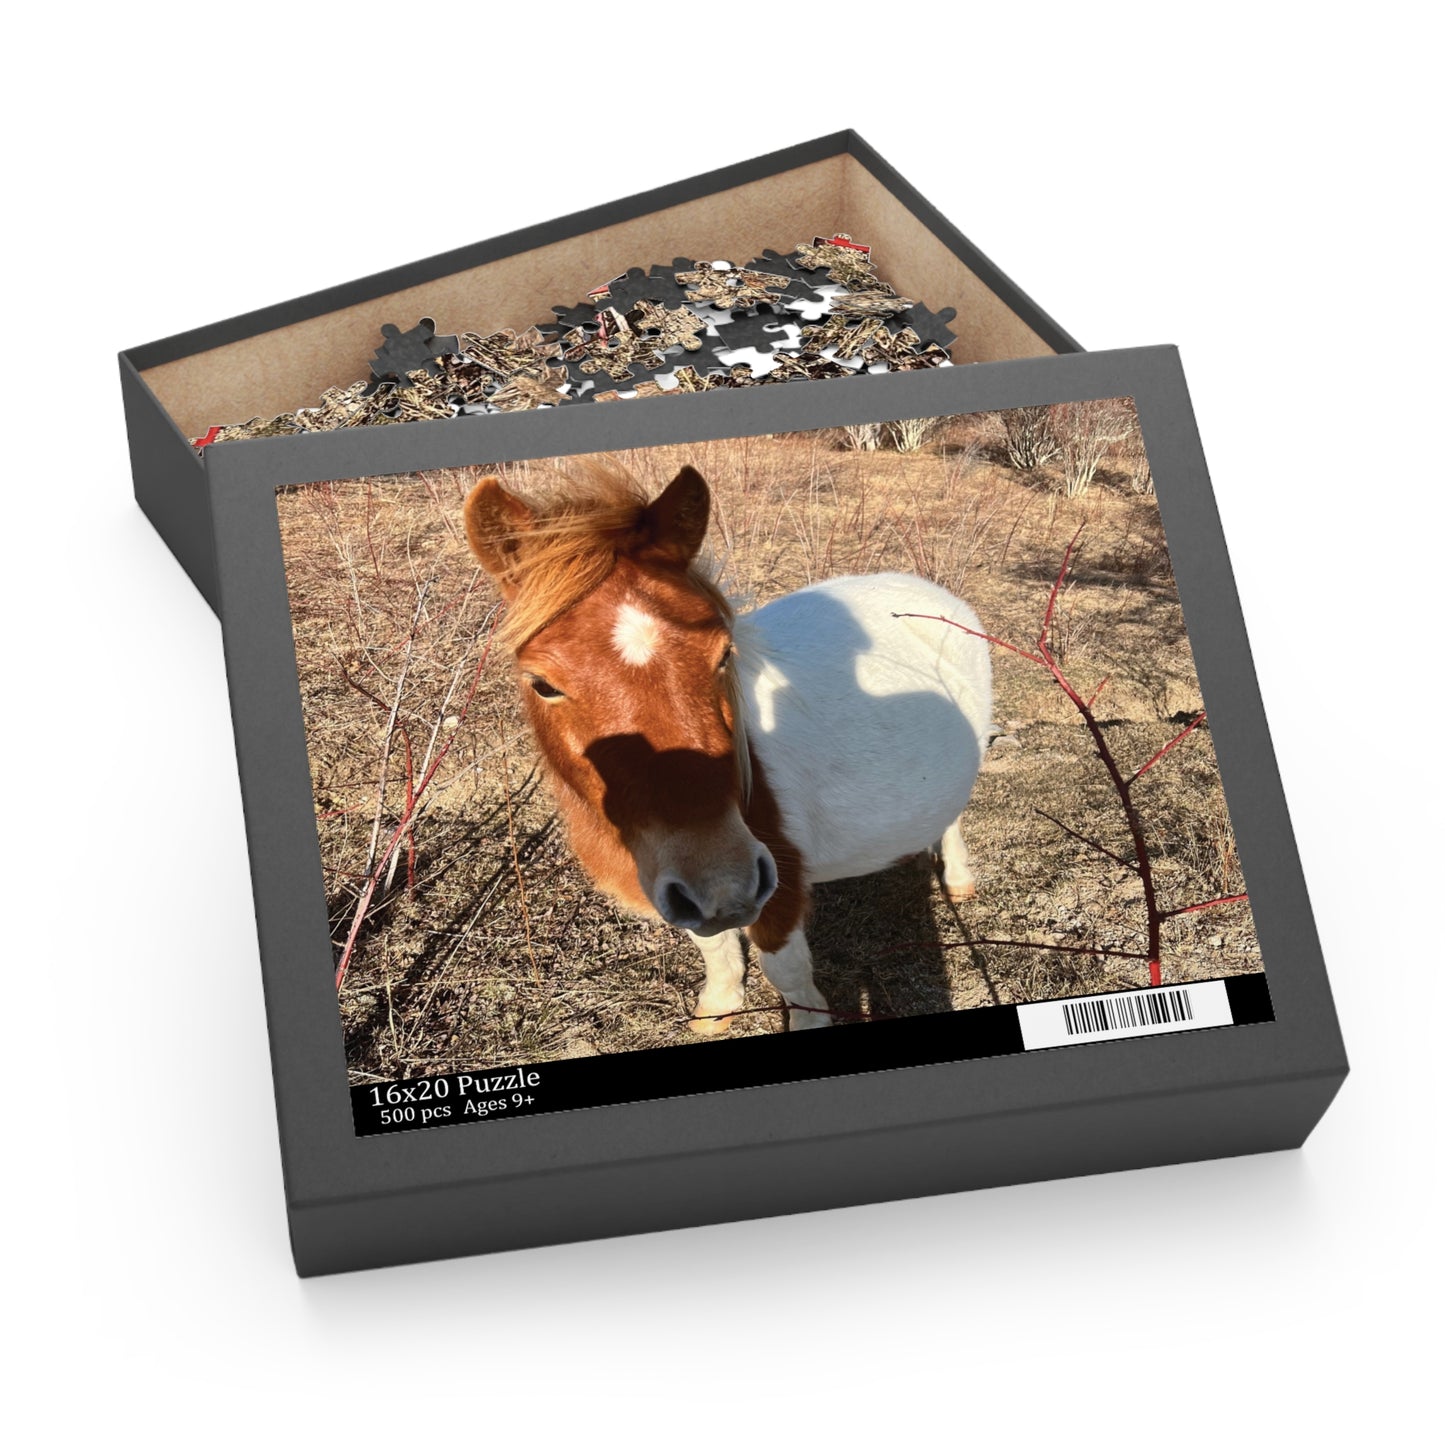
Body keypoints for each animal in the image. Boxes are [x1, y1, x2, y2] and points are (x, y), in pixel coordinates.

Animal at [463, 462, 992, 1032]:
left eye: (722, 654)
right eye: (542, 684)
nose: (724, 885)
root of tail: (921, 585)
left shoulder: (778, 890)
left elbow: (788, 974)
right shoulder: (680, 891)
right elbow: (713, 947)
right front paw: (717, 1008)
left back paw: (958, 877)